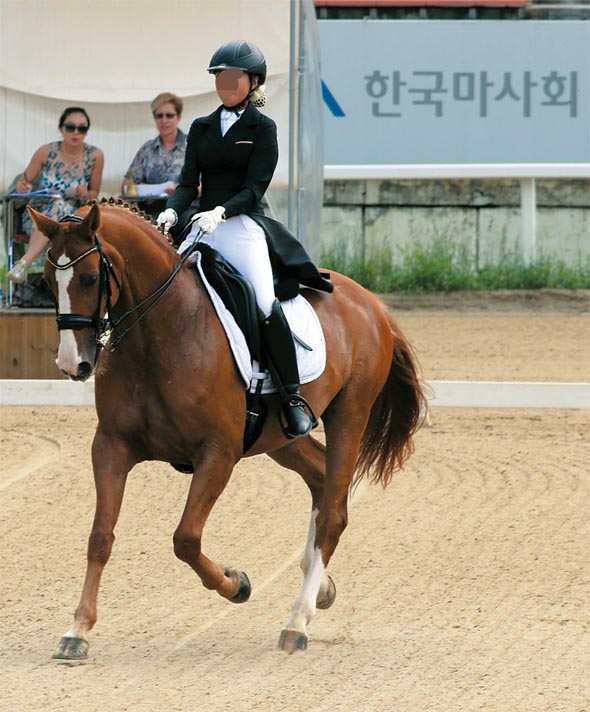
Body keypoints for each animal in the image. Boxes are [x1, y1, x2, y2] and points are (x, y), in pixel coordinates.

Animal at [32, 200, 428, 656]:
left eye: (91, 277)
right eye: (47, 282)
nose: (72, 364)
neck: (162, 330)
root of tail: (370, 301)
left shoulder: (218, 453)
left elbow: (186, 538)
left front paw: (236, 583)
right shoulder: (111, 446)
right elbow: (100, 537)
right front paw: (77, 631)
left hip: (350, 413)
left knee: (333, 511)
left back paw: (297, 621)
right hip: (281, 436)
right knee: (321, 474)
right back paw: (319, 586)